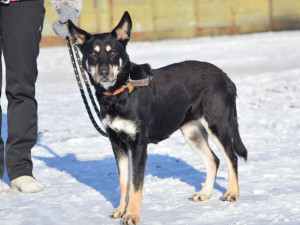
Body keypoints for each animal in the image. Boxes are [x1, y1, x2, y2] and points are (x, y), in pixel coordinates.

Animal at [68, 11, 248, 224]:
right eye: (93, 54)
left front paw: (132, 214)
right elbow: (123, 181)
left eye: (113, 52)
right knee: (214, 160)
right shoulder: (117, 142)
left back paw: (232, 193)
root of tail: (225, 76)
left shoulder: (139, 145)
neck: (119, 92)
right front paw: (121, 210)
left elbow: (136, 185)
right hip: (192, 131)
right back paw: (205, 193)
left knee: (231, 157)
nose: (104, 72)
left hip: (217, 125)